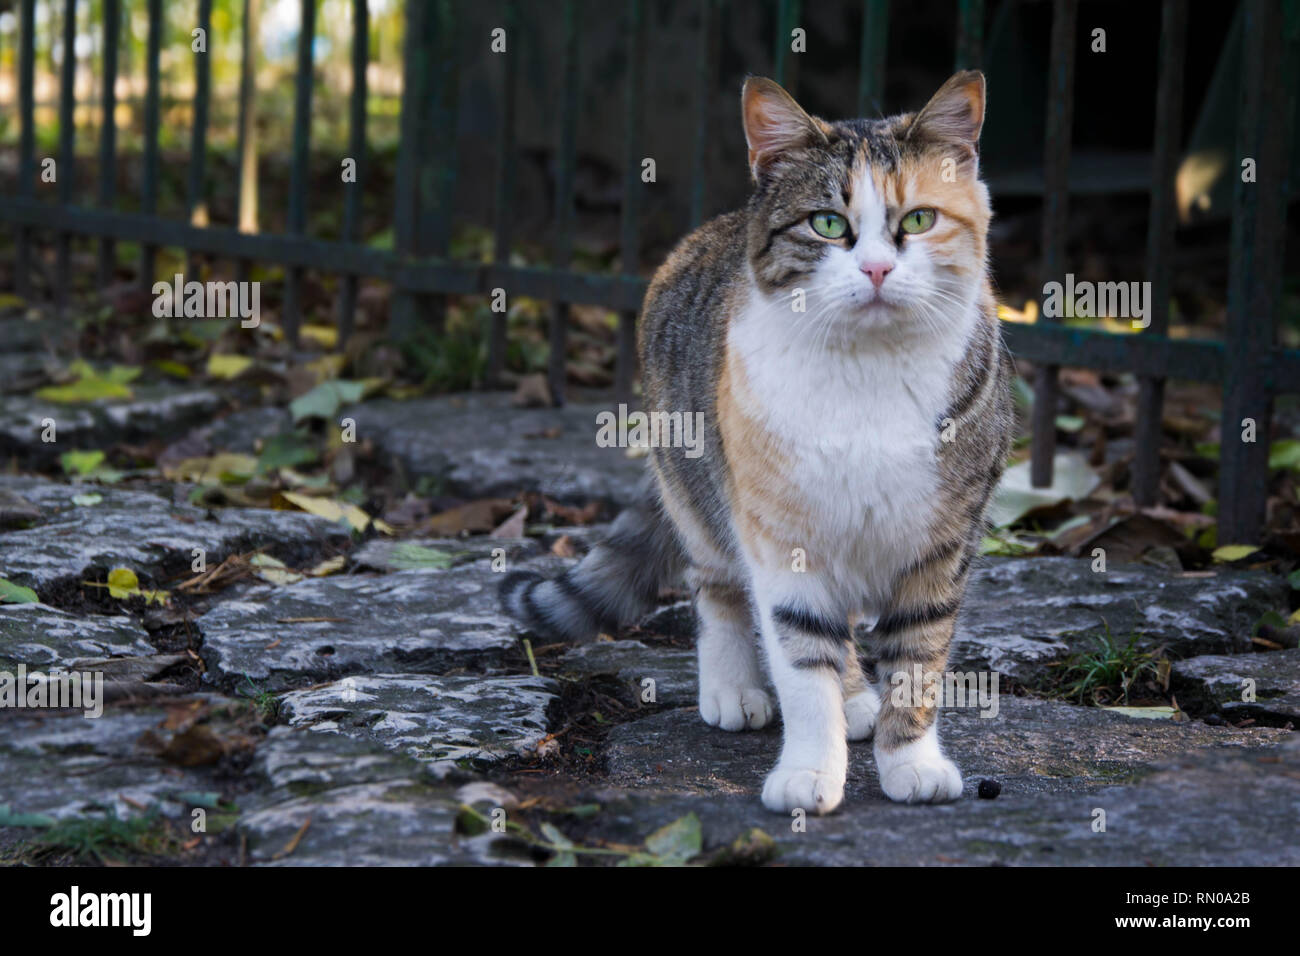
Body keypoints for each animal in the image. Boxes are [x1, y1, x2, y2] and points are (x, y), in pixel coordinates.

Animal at [499, 70, 1013, 816]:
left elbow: (917, 658)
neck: (869, 372)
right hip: (698, 492)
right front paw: (810, 769)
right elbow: (800, 659)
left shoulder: (941, 544)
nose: (877, 271)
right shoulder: (779, 537)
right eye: (827, 223)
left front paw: (909, 761)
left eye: (918, 219)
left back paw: (858, 698)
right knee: (717, 589)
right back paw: (734, 686)